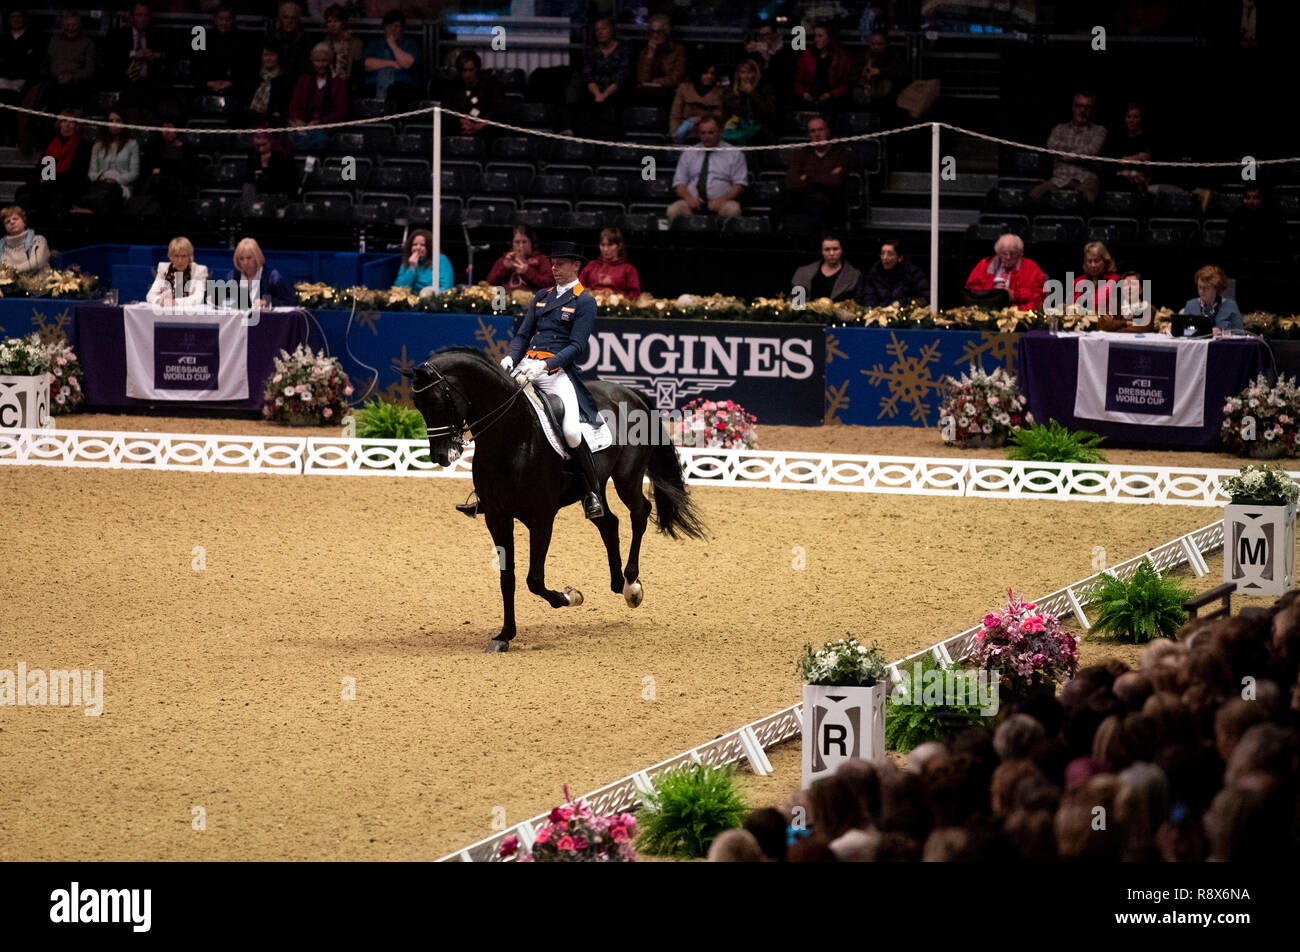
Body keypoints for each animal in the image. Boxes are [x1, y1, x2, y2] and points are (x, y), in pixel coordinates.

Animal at [408, 348, 707, 655]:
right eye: (418, 405)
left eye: (437, 401)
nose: (441, 456)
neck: (512, 437)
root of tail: (628, 391)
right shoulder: (496, 517)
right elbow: (507, 578)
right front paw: (504, 635)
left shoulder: (542, 518)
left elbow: (534, 579)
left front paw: (570, 596)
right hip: (596, 486)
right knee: (608, 522)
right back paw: (617, 582)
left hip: (627, 477)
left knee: (640, 513)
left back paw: (631, 585)